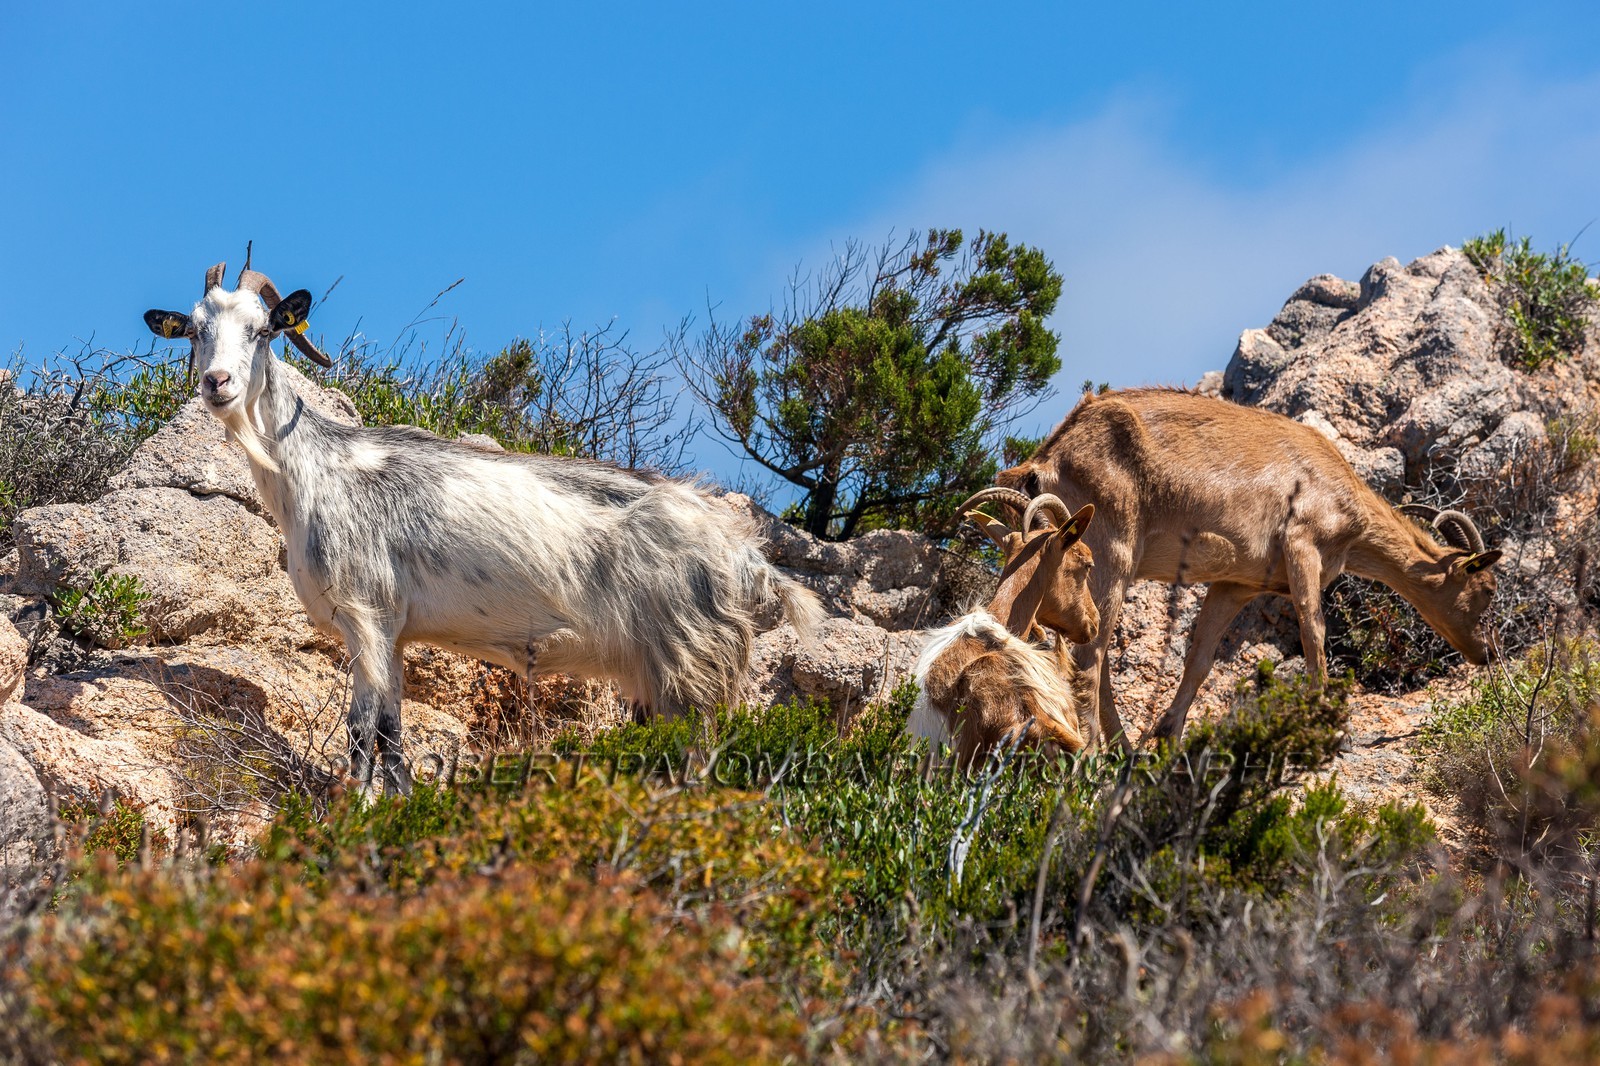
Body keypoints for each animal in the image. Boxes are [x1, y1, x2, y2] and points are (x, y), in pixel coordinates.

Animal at [145, 262, 823, 794]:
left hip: (692, 660)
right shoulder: (394, 632)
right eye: (196, 330)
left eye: (263, 330)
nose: (216, 383)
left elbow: (363, 733)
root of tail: (743, 553)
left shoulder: (365, 616)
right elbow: (392, 731)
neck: (314, 468)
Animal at [992, 388, 1503, 747]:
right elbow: (1314, 631)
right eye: (1487, 588)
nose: (1487, 655)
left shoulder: (1236, 584)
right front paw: (1329, 727)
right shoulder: (1302, 544)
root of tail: (1044, 461)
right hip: (1110, 553)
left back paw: (1123, 750)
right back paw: (1099, 752)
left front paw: (1168, 735)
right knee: (1090, 659)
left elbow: (1199, 660)